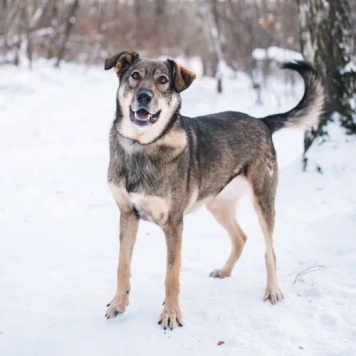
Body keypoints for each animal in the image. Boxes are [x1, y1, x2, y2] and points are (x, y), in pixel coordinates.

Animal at [103, 49, 326, 328]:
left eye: (163, 80)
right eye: (135, 76)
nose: (144, 96)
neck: (142, 146)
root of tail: (262, 122)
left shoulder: (174, 224)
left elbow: (171, 274)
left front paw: (171, 314)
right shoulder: (127, 215)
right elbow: (122, 266)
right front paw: (118, 304)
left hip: (263, 201)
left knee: (270, 250)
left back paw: (273, 290)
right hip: (218, 205)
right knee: (241, 237)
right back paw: (225, 271)